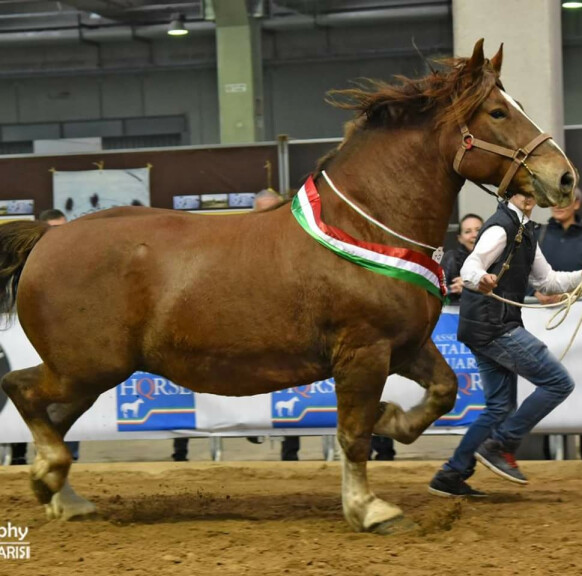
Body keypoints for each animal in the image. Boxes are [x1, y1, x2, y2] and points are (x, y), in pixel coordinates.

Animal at [0, 40, 576, 532]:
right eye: (497, 112)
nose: (564, 177)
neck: (365, 226)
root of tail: (46, 239)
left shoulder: (406, 346)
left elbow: (441, 393)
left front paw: (392, 420)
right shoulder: (363, 351)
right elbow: (353, 435)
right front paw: (370, 509)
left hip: (88, 373)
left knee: (50, 413)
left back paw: (64, 497)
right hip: (86, 366)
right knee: (22, 391)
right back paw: (51, 477)